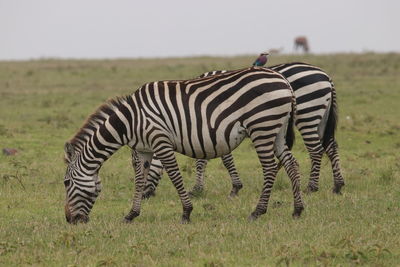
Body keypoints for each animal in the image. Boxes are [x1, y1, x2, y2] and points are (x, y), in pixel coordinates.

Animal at [64, 66, 304, 224]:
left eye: (66, 183)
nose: (69, 220)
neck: (130, 121)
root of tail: (284, 81)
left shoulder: (160, 142)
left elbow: (175, 176)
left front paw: (186, 212)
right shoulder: (143, 150)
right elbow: (139, 181)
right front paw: (131, 214)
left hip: (262, 126)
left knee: (270, 168)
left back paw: (257, 212)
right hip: (277, 130)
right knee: (291, 164)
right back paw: (297, 210)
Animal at [141, 63, 344, 199]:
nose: (144, 194)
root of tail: (326, 76)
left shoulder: (211, 125)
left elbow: (214, 160)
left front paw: (227, 188)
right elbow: (206, 158)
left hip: (307, 113)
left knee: (316, 150)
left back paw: (311, 187)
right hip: (321, 116)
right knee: (331, 146)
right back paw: (338, 186)